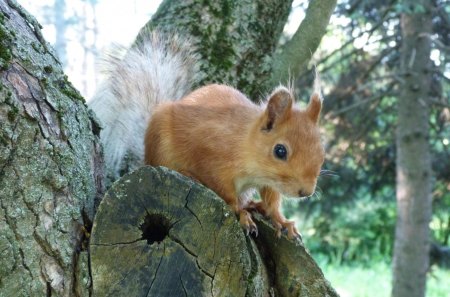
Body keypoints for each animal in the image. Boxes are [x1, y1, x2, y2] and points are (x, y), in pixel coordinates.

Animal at [89, 31, 326, 238]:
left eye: (322, 150)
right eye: (280, 151)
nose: (306, 192)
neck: (246, 145)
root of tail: (146, 155)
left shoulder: (269, 181)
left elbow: (271, 201)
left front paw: (281, 220)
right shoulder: (210, 157)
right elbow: (225, 193)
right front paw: (241, 213)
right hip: (161, 149)